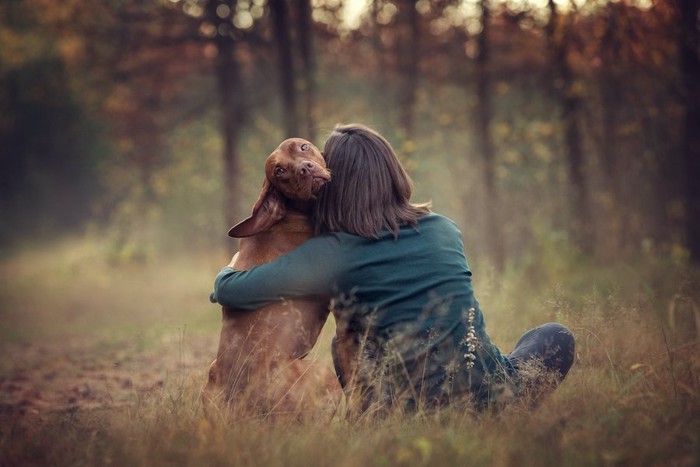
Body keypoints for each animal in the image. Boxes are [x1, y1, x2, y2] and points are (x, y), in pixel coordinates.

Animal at [202, 138, 342, 420]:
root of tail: (240, 407)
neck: (290, 215)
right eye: (279, 171)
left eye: (302, 147)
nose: (305, 169)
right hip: (322, 374)